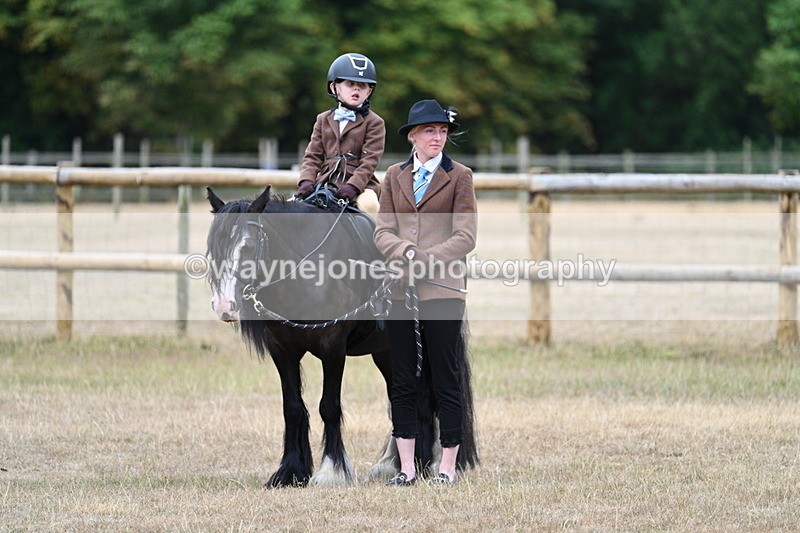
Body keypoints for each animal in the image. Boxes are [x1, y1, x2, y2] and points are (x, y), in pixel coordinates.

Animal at [204, 185, 477, 487]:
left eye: (249, 247)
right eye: (213, 249)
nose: (224, 305)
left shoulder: (332, 347)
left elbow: (329, 406)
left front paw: (331, 471)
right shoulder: (282, 350)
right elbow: (292, 407)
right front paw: (290, 471)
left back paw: (435, 461)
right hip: (388, 353)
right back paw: (396, 463)